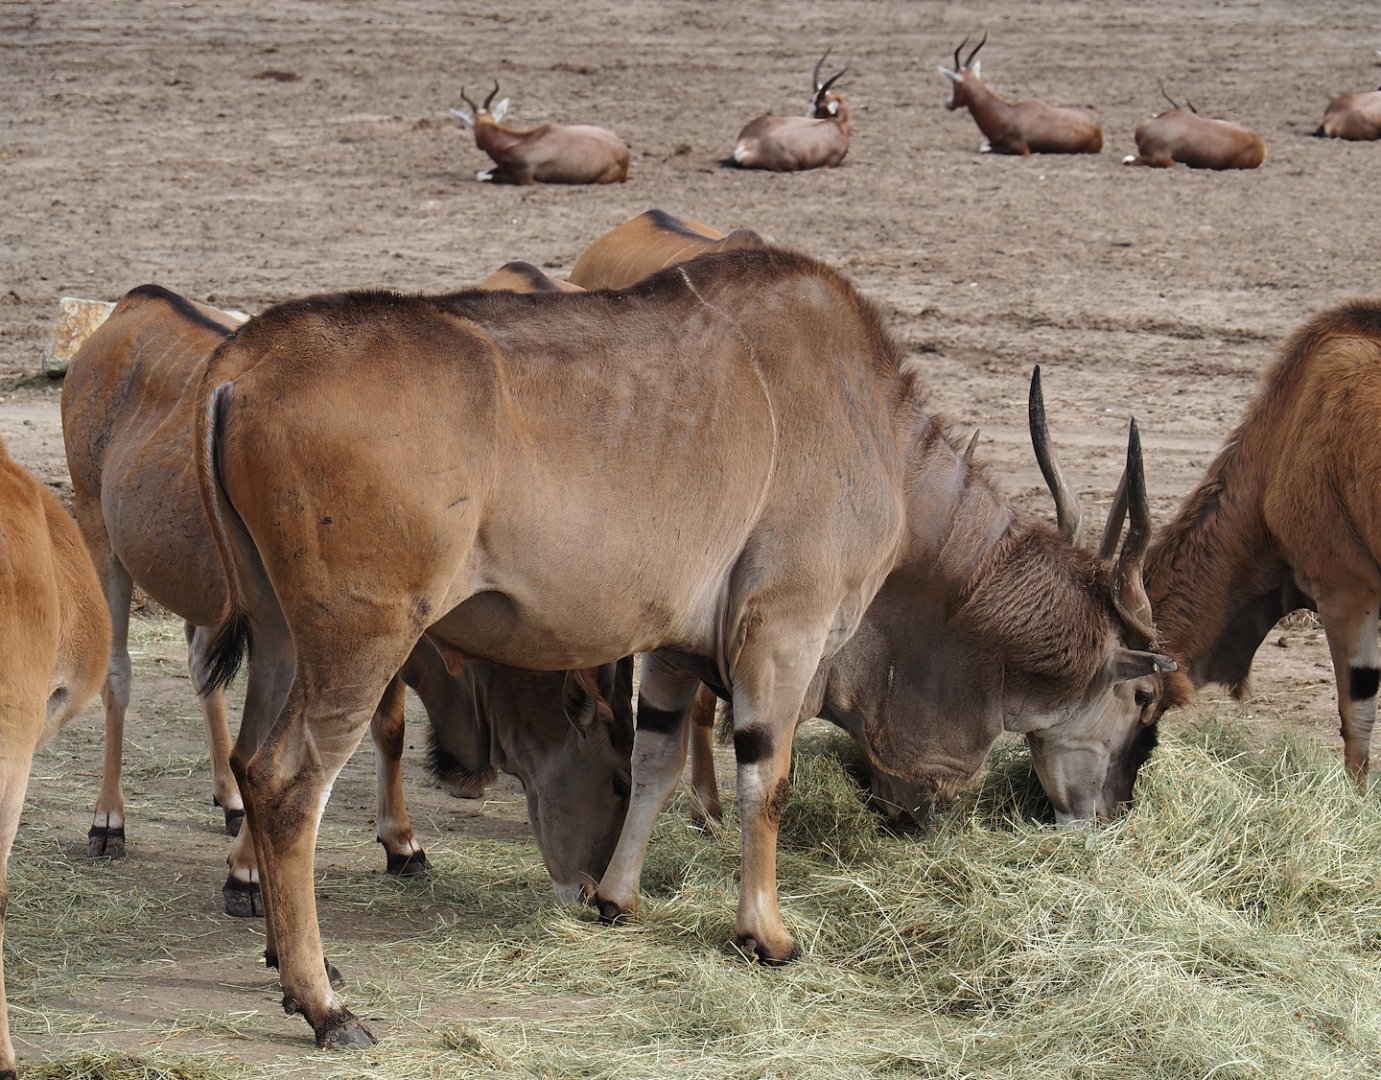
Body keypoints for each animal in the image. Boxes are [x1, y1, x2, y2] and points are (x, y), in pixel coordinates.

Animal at [62, 285, 631, 916]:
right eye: (616, 779)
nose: (592, 888)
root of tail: (132, 306)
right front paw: (247, 871)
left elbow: (389, 729)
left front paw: (401, 842)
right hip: (99, 536)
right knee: (118, 674)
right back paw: (108, 820)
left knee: (202, 668)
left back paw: (227, 797)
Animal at [195, 247, 1172, 1048]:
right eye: (1143, 697)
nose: (1114, 810)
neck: (877, 439)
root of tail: (242, 366)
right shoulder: (783, 632)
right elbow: (763, 780)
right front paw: (765, 935)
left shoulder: (668, 650)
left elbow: (658, 762)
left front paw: (615, 901)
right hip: (360, 640)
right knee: (287, 783)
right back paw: (325, 1006)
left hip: (281, 638)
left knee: (250, 759)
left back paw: (289, 966)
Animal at [937, 34, 1103, 155]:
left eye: (954, 82)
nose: (948, 104)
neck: (1009, 115)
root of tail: (1097, 129)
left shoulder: (1021, 150)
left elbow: (983, 148)